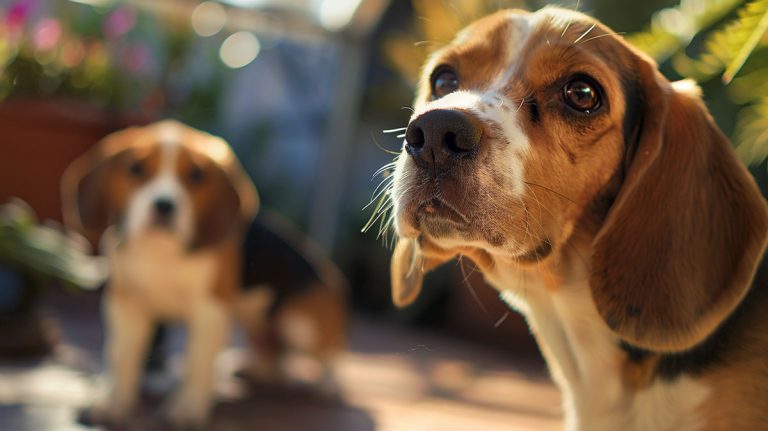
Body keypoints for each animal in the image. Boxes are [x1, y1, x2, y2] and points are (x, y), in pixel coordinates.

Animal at [61, 120, 346, 428]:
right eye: (136, 169)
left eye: (196, 175)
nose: (164, 205)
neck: (161, 253)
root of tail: (328, 271)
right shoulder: (126, 305)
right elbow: (122, 357)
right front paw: (113, 405)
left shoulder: (209, 312)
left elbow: (197, 364)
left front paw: (186, 409)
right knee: (273, 360)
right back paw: (249, 367)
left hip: (299, 322)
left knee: (330, 354)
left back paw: (328, 384)